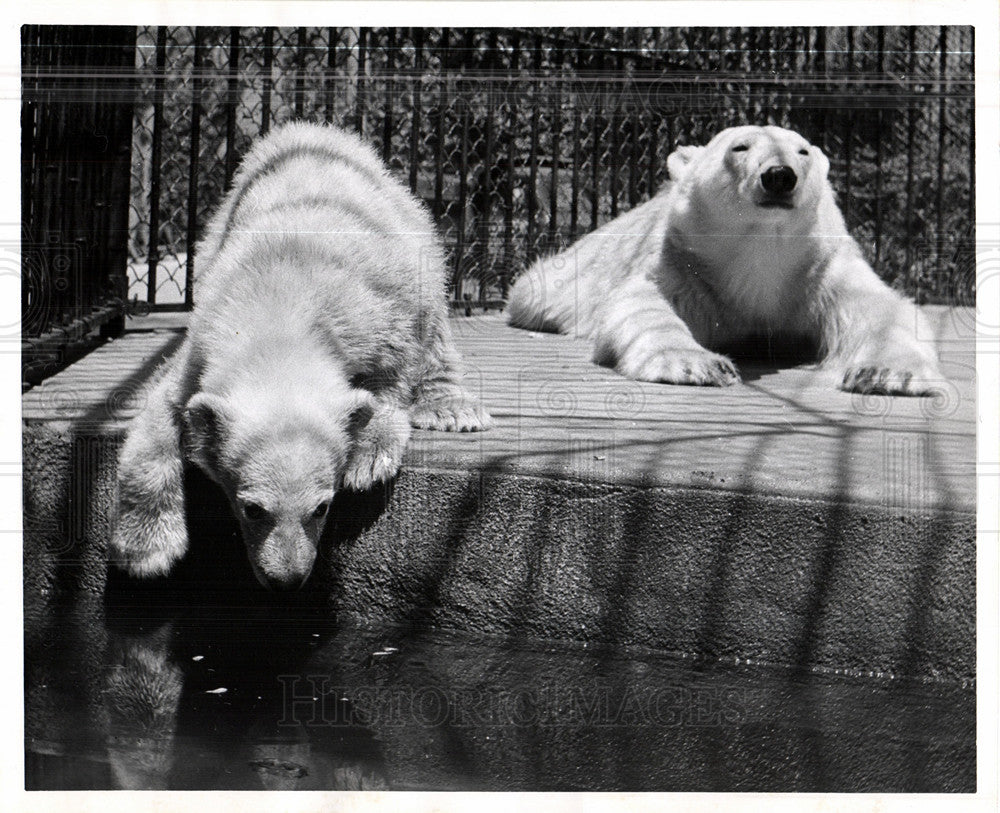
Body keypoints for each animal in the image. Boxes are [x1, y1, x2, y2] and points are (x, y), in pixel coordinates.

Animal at [112, 122, 492, 588]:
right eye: (253, 509)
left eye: (321, 507)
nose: (287, 580)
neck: (278, 307)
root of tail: (314, 129)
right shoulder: (203, 345)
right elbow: (162, 409)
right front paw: (146, 549)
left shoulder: (370, 309)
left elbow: (393, 368)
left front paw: (368, 456)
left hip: (412, 229)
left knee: (433, 314)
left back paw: (452, 409)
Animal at [508, 123, 944, 396]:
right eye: (740, 146)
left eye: (803, 151)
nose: (780, 175)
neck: (761, 252)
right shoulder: (687, 266)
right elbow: (643, 304)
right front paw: (696, 365)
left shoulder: (824, 270)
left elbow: (884, 311)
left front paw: (887, 374)